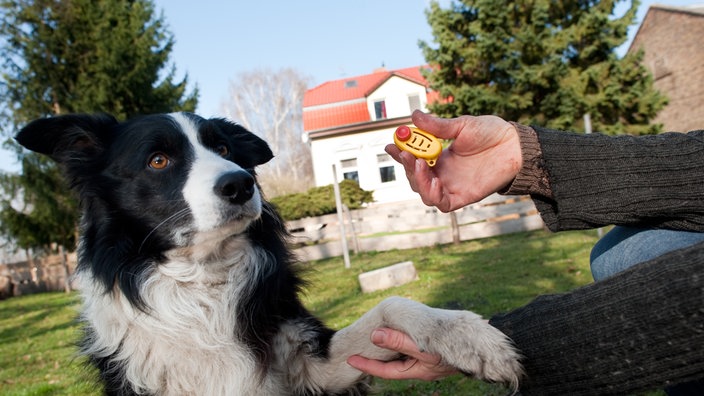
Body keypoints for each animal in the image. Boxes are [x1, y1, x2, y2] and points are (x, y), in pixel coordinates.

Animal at [16, 112, 524, 396]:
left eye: (223, 147)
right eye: (157, 160)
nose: (241, 183)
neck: (201, 282)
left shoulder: (311, 366)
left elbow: (391, 304)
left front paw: (471, 339)